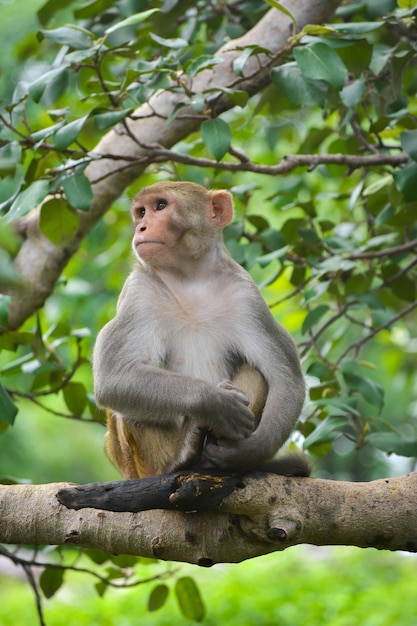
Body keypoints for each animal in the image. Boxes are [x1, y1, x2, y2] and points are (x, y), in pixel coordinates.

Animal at [94, 180, 308, 478]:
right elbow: (115, 378)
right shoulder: (138, 291)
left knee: (257, 371)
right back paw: (181, 455)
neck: (190, 278)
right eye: (141, 212)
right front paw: (215, 402)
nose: (141, 227)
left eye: (160, 206)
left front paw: (248, 452)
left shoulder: (247, 296)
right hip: (137, 464)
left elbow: (286, 380)